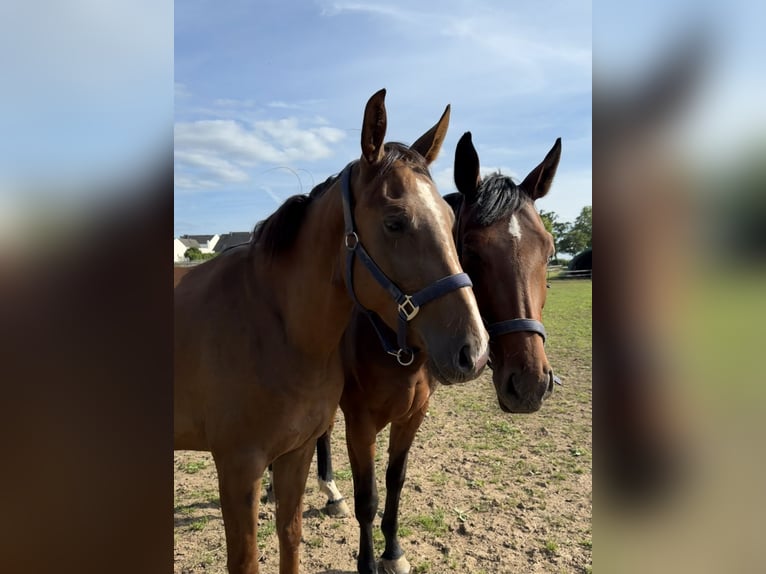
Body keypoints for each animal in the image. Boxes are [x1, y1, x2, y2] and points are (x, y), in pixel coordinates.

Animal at [174, 90, 490, 574]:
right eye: (395, 222)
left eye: (450, 222)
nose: (472, 350)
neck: (276, 328)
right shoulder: (238, 468)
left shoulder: (296, 453)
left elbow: (291, 536)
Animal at [297, 131, 562, 574]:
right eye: (471, 248)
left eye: (549, 249)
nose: (529, 384)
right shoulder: (360, 423)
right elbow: (367, 498)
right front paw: (368, 561)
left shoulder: (412, 416)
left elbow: (395, 482)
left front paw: (393, 551)